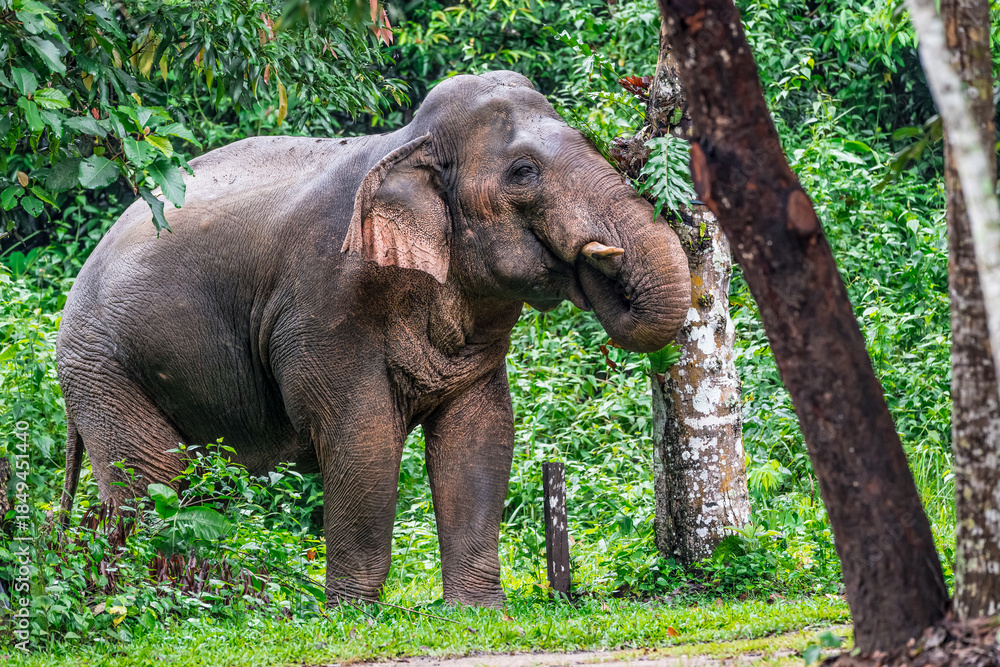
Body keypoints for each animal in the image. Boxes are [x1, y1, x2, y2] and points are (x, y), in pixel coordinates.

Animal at [57, 70, 691, 605]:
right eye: (523, 172)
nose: (595, 262)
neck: (409, 141)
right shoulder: (329, 305)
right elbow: (361, 438)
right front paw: (351, 614)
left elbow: (481, 435)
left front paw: (479, 611)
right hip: (101, 367)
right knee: (152, 482)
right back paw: (157, 602)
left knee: (194, 486)